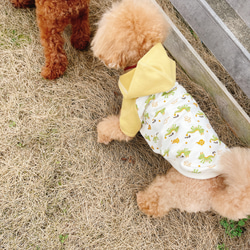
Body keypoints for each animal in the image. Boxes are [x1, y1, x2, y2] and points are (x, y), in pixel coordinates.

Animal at [92, 0, 250, 220]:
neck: (148, 65)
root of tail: (217, 191)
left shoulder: (132, 117)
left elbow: (116, 129)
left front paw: (101, 135)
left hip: (173, 187)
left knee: (159, 200)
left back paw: (143, 201)